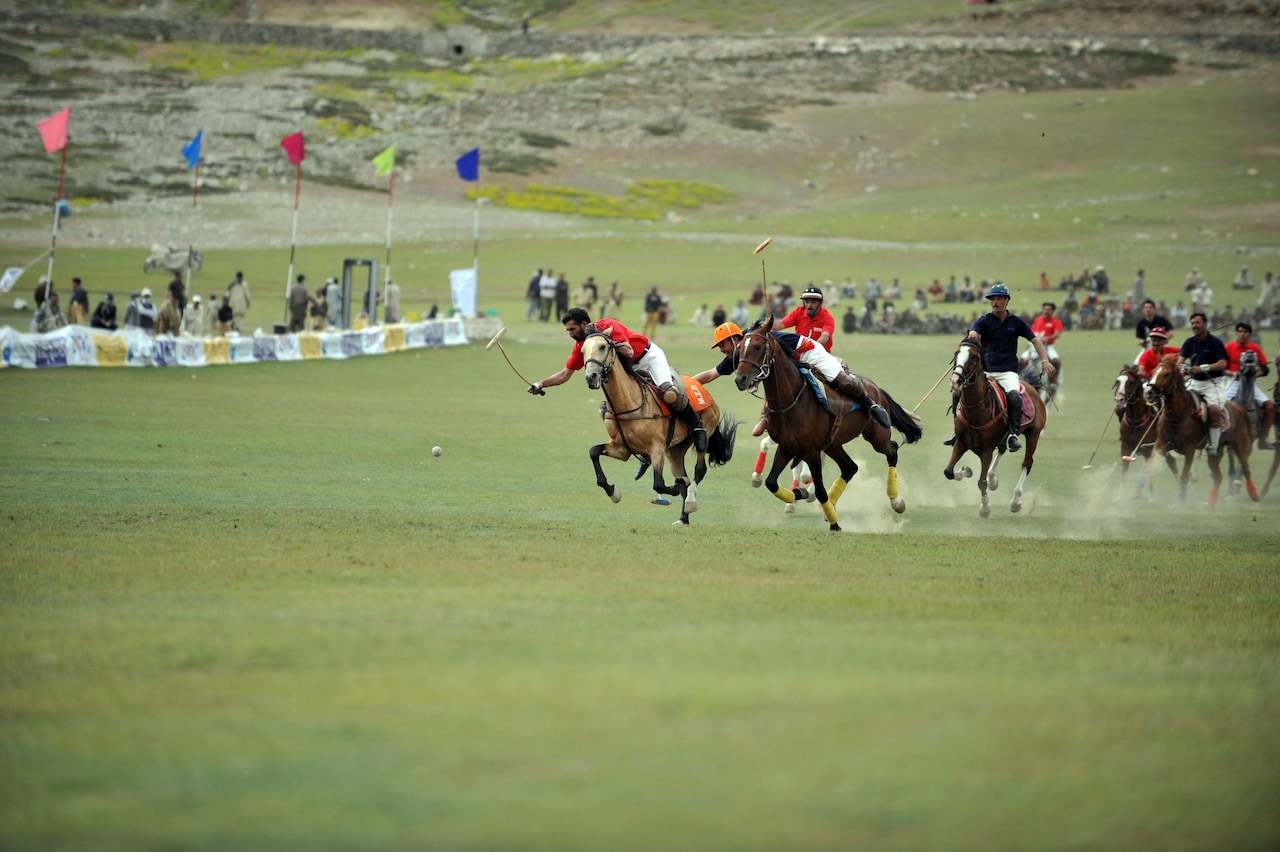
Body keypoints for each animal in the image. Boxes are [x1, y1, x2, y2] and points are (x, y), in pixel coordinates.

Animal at [583, 327, 742, 521]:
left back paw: (690, 500)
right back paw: (683, 519)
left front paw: (675, 488)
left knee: (699, 468)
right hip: (675, 450)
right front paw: (613, 492)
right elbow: (593, 452)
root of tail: (702, 388)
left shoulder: (656, 447)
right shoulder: (622, 449)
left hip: (703, 432)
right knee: (684, 475)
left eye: (603, 346)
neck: (627, 402)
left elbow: (659, 484)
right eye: (582, 350)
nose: (591, 377)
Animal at [732, 314, 921, 527]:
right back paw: (831, 503)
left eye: (757, 347)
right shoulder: (786, 447)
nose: (741, 379)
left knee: (892, 450)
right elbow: (771, 482)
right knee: (850, 468)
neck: (791, 400)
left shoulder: (811, 452)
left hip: (877, 437)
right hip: (833, 444)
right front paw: (799, 494)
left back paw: (896, 501)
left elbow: (819, 489)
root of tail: (876, 389)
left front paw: (828, 515)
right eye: (740, 348)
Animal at [942, 335, 1049, 514]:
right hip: (1004, 438)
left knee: (1027, 463)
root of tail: (1031, 386)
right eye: (957, 353)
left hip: (1033, 434)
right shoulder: (961, 443)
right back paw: (994, 480)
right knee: (1003, 449)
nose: (955, 381)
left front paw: (985, 507)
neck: (975, 409)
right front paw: (966, 471)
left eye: (974, 357)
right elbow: (948, 472)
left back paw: (1016, 501)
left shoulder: (986, 451)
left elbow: (981, 482)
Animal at [1146, 350, 1254, 504]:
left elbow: (1184, 475)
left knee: (1245, 469)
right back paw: (1209, 503)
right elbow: (1150, 467)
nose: (1148, 392)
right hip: (1216, 451)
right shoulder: (1161, 444)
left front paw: (1180, 502)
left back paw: (1255, 497)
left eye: (1166, 374)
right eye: (1153, 371)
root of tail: (1240, 409)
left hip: (1239, 445)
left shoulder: (1189, 449)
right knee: (1218, 476)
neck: (1179, 414)